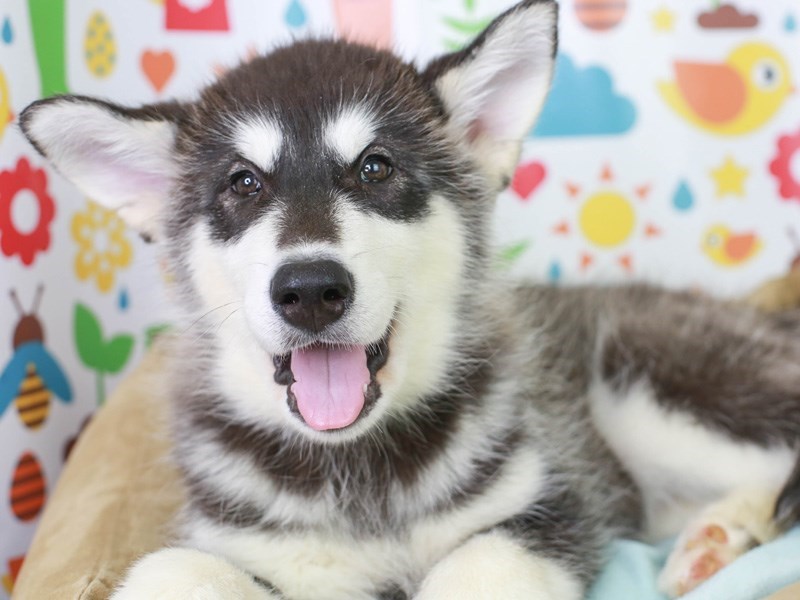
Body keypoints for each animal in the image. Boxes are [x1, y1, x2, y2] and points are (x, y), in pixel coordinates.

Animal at [17, 2, 800, 596]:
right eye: (243, 184)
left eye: (374, 168)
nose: (310, 290)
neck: (361, 469)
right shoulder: (250, 544)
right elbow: (170, 567)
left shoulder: (555, 506)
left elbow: (476, 562)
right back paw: (717, 539)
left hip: (654, 383)